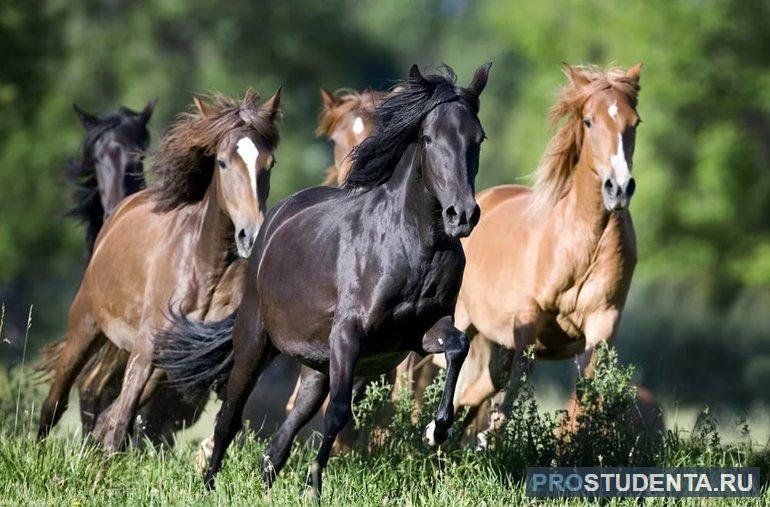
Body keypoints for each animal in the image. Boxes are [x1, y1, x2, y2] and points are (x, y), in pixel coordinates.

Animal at [158, 62, 492, 496]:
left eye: (478, 137)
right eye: (428, 137)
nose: (462, 215)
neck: (414, 245)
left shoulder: (419, 332)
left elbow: (458, 345)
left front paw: (438, 429)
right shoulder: (348, 336)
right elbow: (338, 413)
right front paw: (313, 486)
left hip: (316, 366)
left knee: (281, 439)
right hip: (255, 341)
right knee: (230, 416)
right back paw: (209, 485)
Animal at [440, 63, 640, 448]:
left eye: (634, 122)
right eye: (589, 121)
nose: (619, 187)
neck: (581, 245)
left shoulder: (601, 325)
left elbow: (584, 397)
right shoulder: (529, 322)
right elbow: (511, 389)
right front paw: (488, 440)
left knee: (479, 388)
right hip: (464, 322)